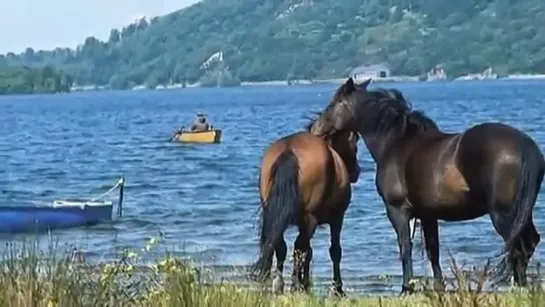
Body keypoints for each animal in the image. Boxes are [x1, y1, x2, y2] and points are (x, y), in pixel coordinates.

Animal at [252, 115, 362, 296]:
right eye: (354, 140)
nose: (357, 171)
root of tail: (289, 151)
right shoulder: (337, 219)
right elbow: (334, 251)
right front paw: (337, 288)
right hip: (310, 220)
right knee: (299, 248)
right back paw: (296, 285)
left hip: (277, 216)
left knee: (281, 246)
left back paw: (281, 284)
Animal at [310, 78, 544, 294]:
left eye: (333, 104)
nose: (315, 129)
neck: (396, 143)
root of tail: (526, 146)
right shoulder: (428, 214)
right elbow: (433, 251)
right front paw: (438, 287)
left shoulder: (397, 210)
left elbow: (405, 248)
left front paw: (406, 288)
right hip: (521, 211)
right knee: (528, 242)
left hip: (503, 214)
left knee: (518, 245)